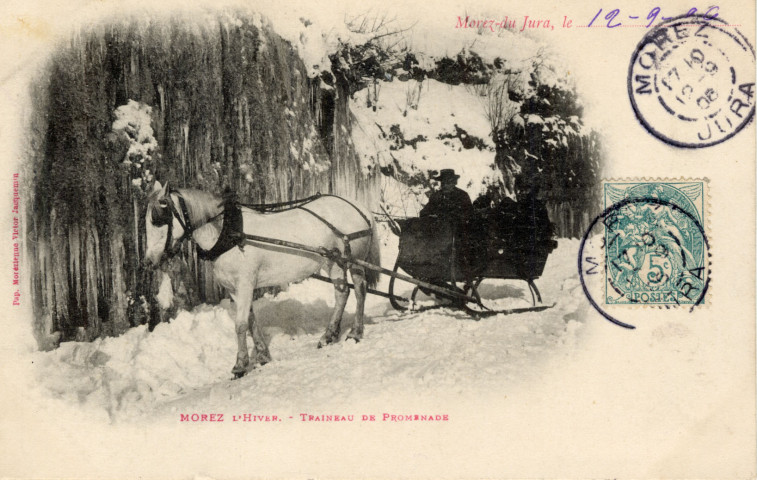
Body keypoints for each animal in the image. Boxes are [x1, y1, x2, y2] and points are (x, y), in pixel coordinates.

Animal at [143, 182, 378, 376]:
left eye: (158, 219)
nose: (148, 261)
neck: (229, 234)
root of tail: (358, 206)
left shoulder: (246, 283)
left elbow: (240, 325)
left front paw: (239, 365)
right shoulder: (235, 290)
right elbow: (250, 320)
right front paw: (263, 356)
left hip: (353, 261)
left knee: (358, 290)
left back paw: (354, 333)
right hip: (333, 262)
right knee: (343, 293)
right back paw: (331, 336)